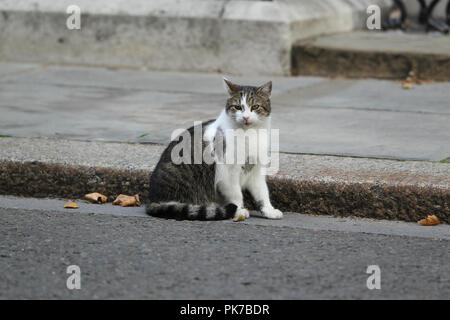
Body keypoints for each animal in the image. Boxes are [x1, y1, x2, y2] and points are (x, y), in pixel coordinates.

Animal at [146, 79, 284, 221]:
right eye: (238, 107)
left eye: (255, 107)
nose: (245, 117)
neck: (249, 134)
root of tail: (151, 200)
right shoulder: (227, 173)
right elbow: (236, 195)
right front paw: (239, 211)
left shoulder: (257, 171)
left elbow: (262, 193)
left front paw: (269, 211)